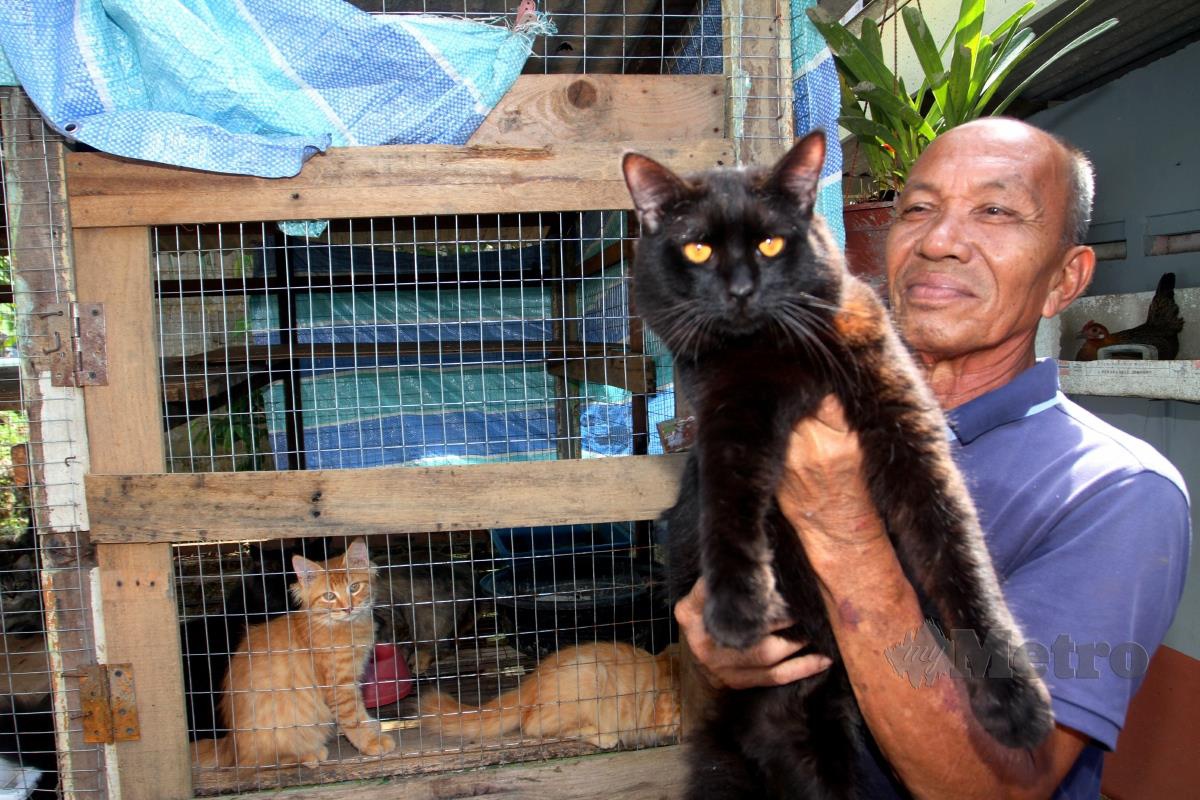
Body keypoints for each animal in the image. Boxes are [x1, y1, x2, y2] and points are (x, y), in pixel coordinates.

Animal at [188, 542, 393, 767]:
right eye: (329, 596)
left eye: (354, 587)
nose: (348, 608)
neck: (342, 626)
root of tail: (231, 743)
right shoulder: (340, 686)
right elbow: (352, 718)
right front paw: (371, 742)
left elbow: (360, 711)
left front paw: (371, 725)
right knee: (264, 761)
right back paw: (311, 754)